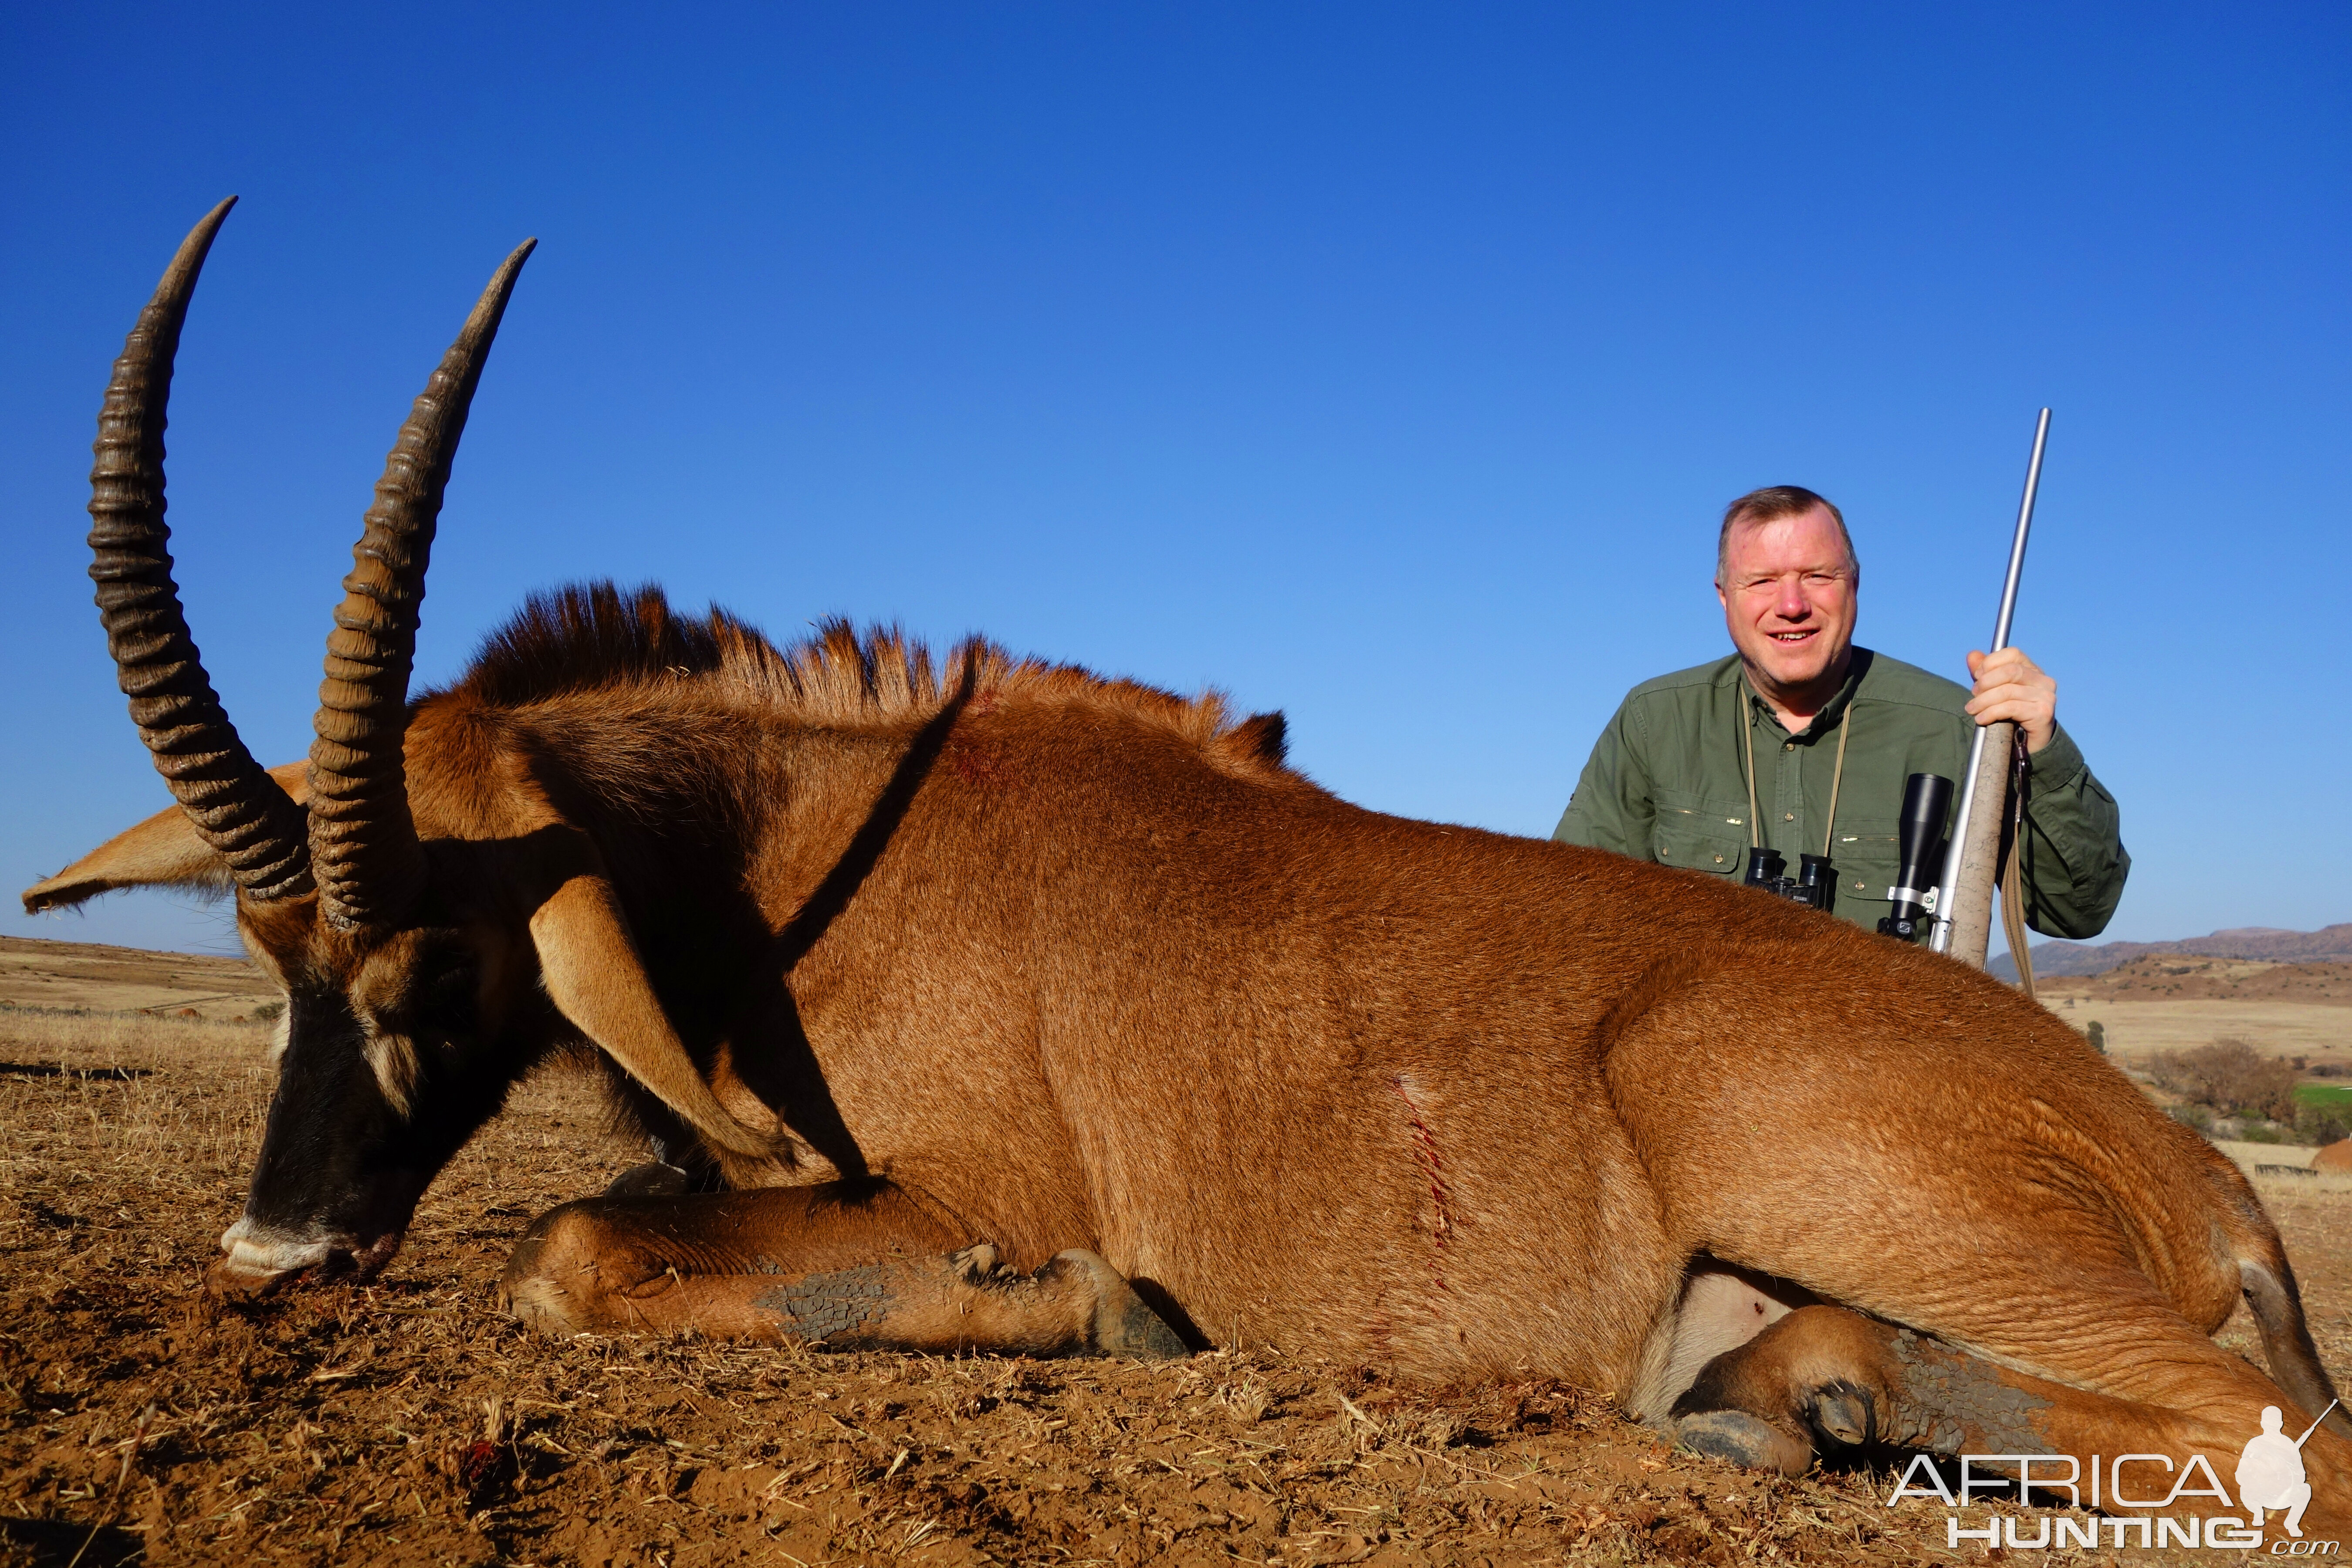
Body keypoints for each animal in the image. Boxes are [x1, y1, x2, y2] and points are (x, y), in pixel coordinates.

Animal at [32, 202, 2352, 1514]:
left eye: (431, 962)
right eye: (264, 955)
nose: (273, 1252)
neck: (792, 860)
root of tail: (2211, 1183)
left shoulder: (951, 1192)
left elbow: (569, 1245)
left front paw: (1095, 1319)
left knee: (2284, 1453)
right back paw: (1812, 1404)